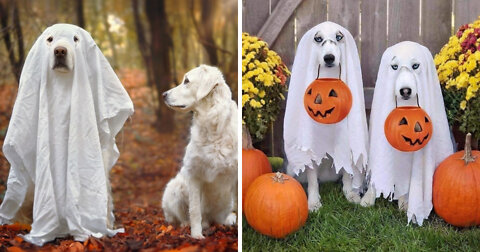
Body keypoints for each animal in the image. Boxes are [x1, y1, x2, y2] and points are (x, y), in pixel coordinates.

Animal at [161, 64, 236, 238]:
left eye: (187, 81)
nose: (163, 95)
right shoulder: (194, 174)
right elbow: (195, 210)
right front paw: (196, 236)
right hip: (174, 189)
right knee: (181, 217)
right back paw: (189, 225)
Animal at [284, 22, 368, 211]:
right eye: (318, 38)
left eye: (339, 37)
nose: (329, 58)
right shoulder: (311, 144)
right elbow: (312, 180)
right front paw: (313, 202)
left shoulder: (346, 141)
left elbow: (347, 174)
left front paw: (350, 194)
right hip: (293, 168)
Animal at [360, 41, 454, 224]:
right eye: (394, 67)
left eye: (415, 66)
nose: (405, 91)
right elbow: (375, 177)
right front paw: (368, 198)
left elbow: (406, 182)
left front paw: (405, 203)